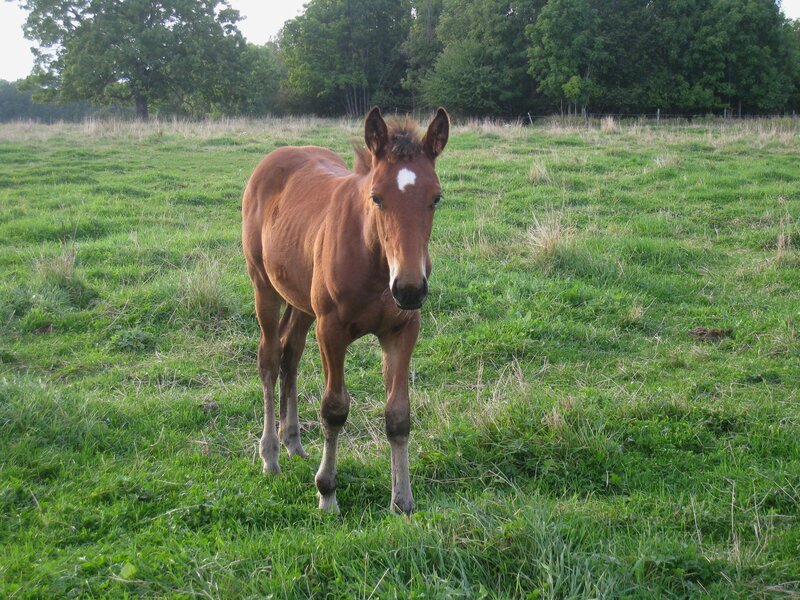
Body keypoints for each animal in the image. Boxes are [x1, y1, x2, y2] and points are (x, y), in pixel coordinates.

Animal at [242, 107, 449, 514]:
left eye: (435, 198)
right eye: (377, 197)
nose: (409, 289)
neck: (375, 264)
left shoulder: (402, 330)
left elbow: (398, 415)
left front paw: (402, 500)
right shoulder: (331, 331)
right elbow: (334, 409)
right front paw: (326, 493)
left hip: (302, 302)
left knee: (291, 353)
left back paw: (293, 442)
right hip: (264, 288)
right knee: (270, 359)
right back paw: (270, 455)